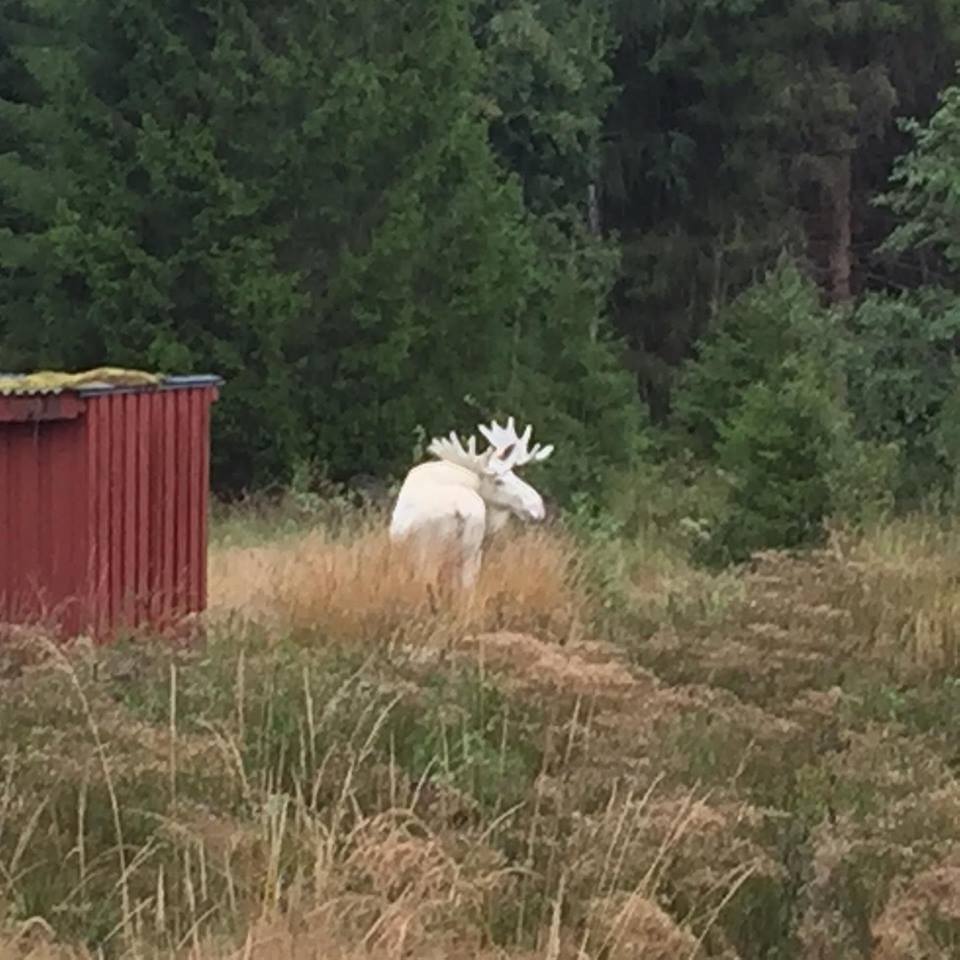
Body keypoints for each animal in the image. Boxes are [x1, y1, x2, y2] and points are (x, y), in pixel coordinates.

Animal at [390, 416, 556, 588]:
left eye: (512, 474)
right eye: (499, 481)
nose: (538, 506)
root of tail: (459, 511)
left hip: (432, 553)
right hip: (469, 551)